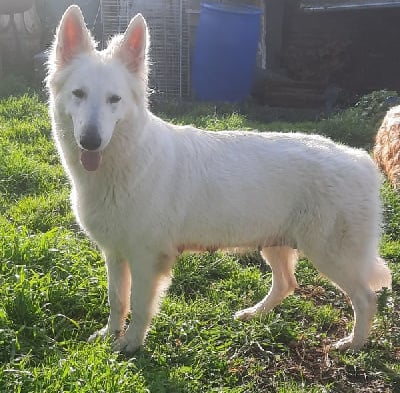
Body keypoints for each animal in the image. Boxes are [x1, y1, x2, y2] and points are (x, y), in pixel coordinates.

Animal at [47, 6, 390, 354]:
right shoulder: (115, 254)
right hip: (276, 245)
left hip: (330, 256)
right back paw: (254, 315)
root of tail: (361, 159)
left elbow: (140, 306)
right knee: (287, 284)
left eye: (114, 99)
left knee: (366, 298)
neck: (126, 160)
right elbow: (117, 300)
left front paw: (131, 343)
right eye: (79, 94)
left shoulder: (146, 258)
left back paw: (352, 344)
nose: (90, 141)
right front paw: (110, 335)